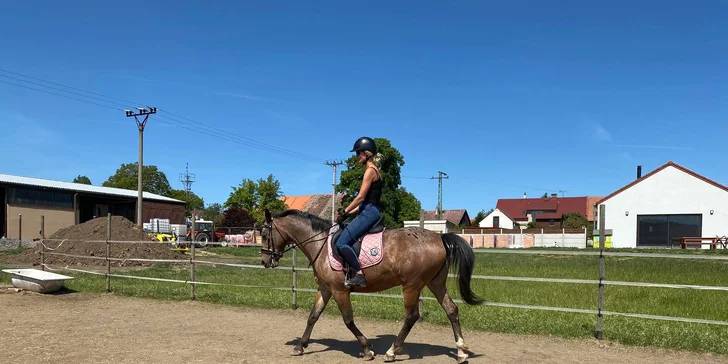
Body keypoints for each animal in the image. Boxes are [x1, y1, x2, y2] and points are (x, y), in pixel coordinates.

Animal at [258, 208, 486, 364]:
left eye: (264, 234)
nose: (264, 261)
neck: (320, 244)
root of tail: (440, 237)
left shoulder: (340, 291)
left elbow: (348, 320)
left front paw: (367, 349)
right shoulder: (325, 289)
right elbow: (313, 317)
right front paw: (300, 347)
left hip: (412, 285)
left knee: (412, 316)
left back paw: (392, 352)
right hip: (435, 283)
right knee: (451, 310)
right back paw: (461, 351)